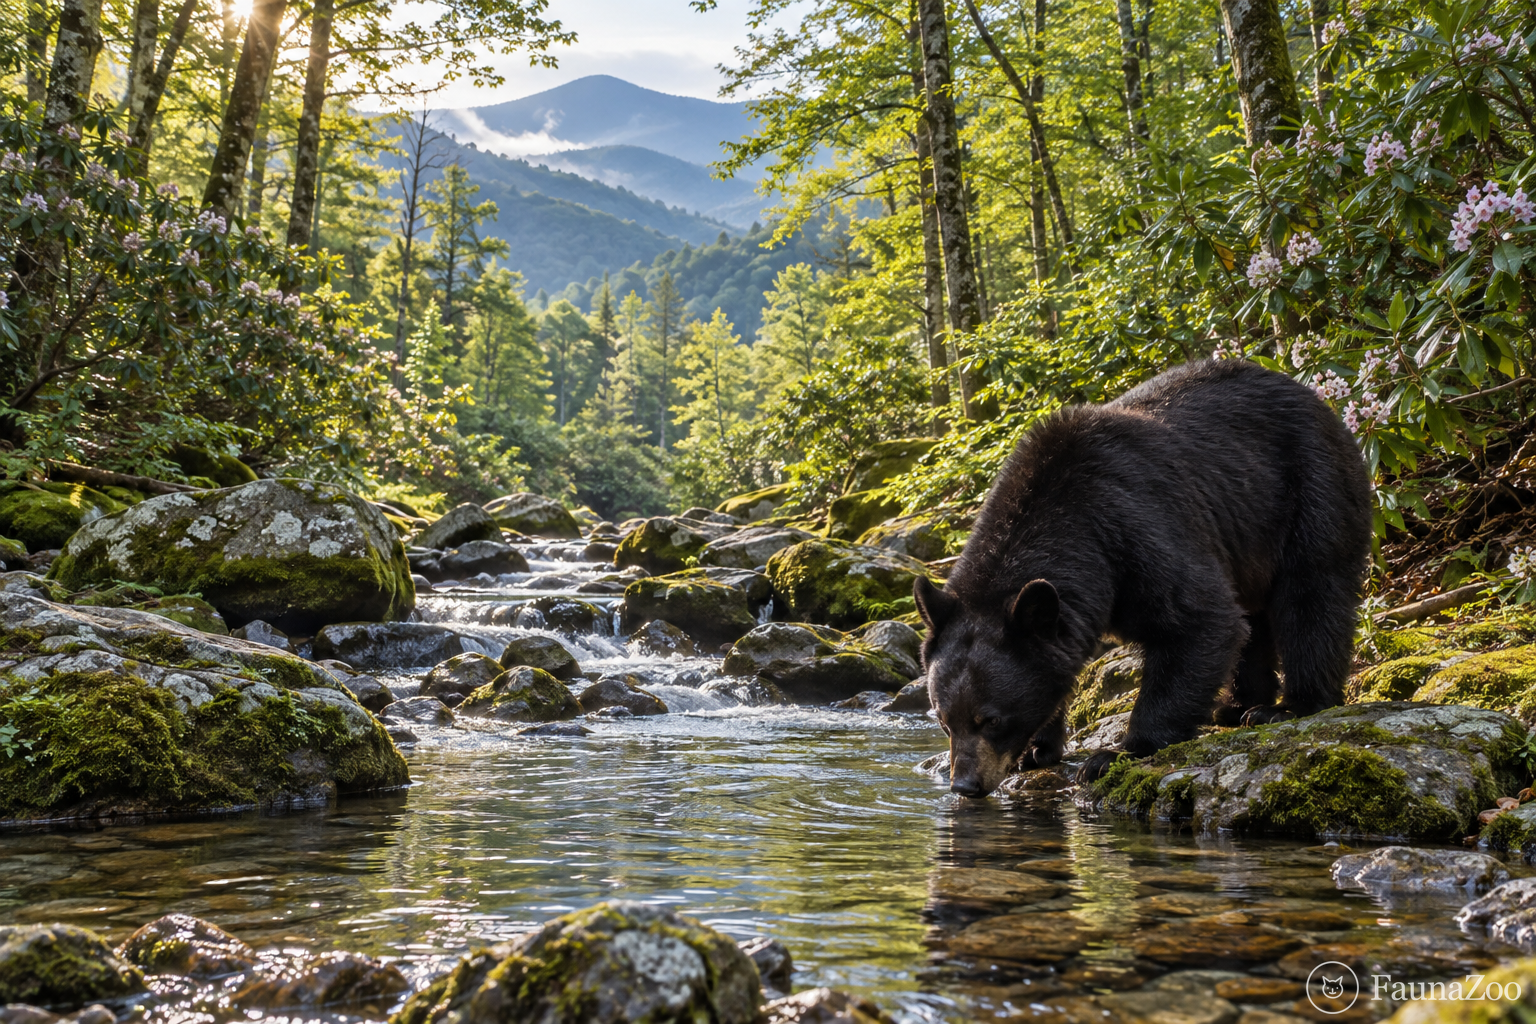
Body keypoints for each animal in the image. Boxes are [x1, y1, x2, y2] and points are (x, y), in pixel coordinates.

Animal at [914, 358, 1372, 797]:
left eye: (991, 720)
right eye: (944, 721)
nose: (965, 785)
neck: (1074, 528)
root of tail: (1317, 399)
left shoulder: (1136, 532)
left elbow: (1201, 620)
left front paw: (1118, 753)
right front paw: (1039, 748)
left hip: (1310, 491)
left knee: (1311, 594)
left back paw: (1290, 706)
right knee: (1254, 617)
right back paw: (1236, 705)